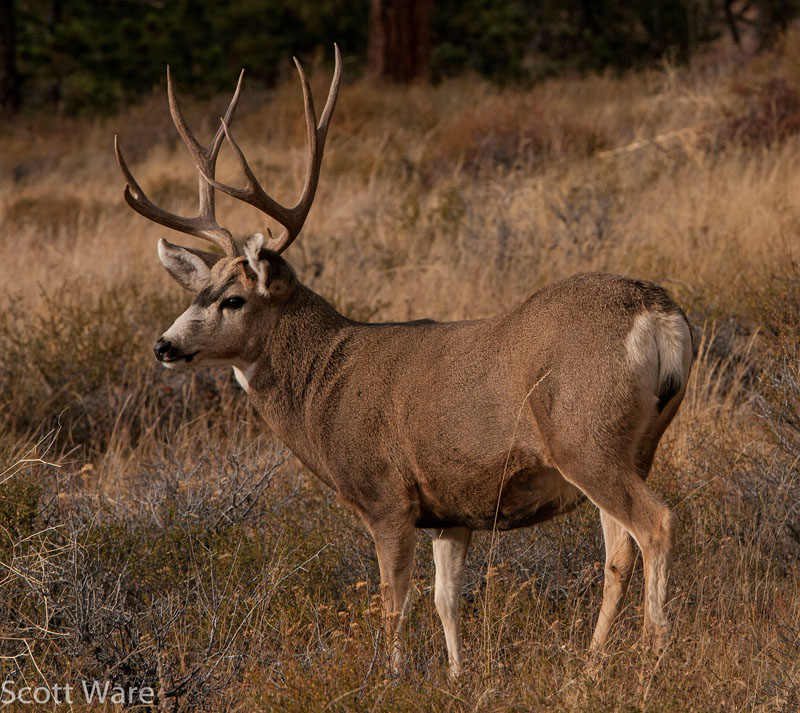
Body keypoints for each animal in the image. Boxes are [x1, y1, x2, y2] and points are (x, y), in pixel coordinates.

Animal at [114, 46, 694, 677]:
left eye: (233, 300)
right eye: (197, 291)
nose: (164, 346)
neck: (323, 385)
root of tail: (660, 314)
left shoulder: (386, 495)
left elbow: (396, 603)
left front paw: (391, 677)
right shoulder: (450, 509)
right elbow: (446, 600)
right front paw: (457, 675)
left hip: (584, 436)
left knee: (655, 525)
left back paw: (652, 658)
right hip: (631, 446)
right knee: (619, 550)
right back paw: (590, 665)